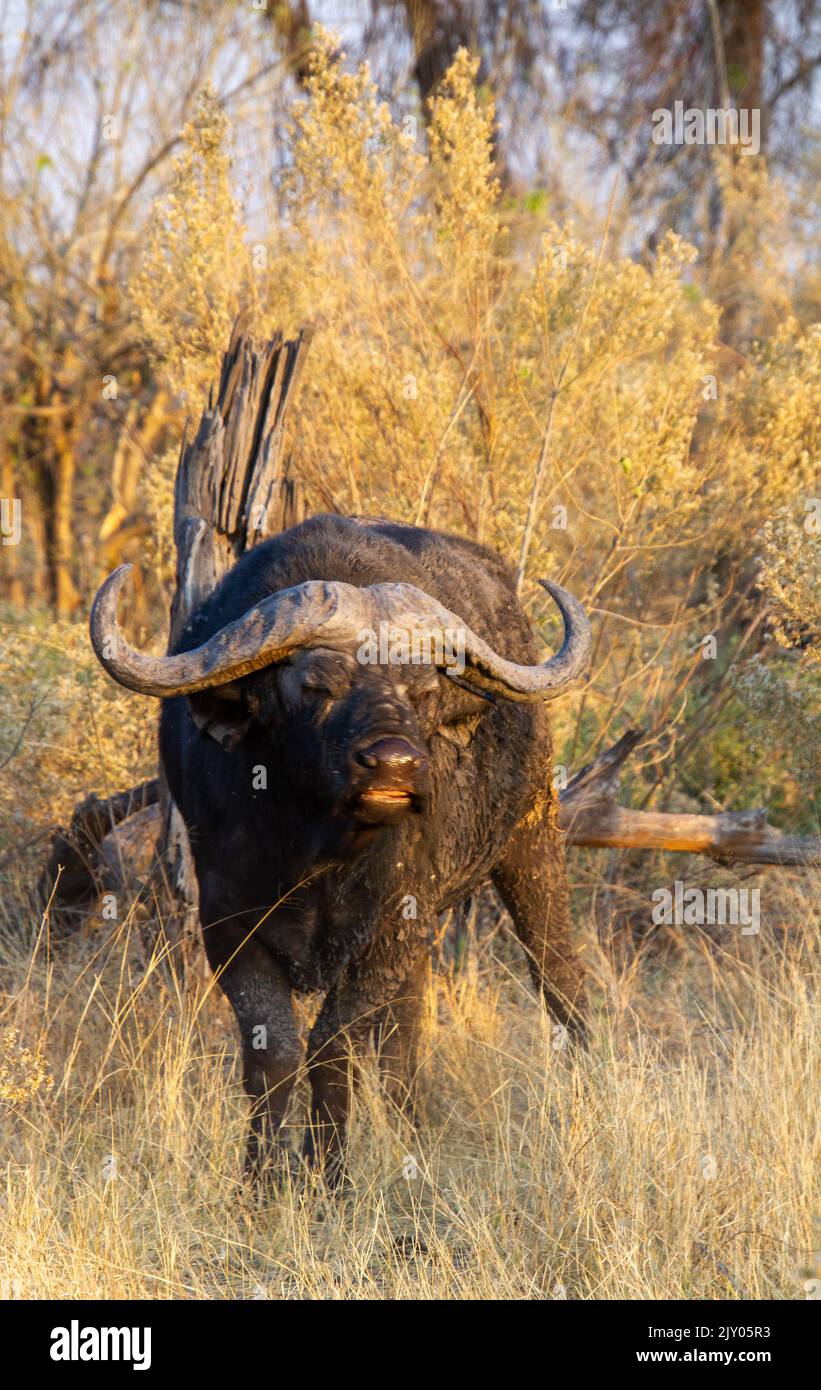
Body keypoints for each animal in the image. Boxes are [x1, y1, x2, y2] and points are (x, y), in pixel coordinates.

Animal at [88, 517, 591, 1178]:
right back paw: (408, 1126)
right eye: (317, 686)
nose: (395, 765)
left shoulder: (392, 926)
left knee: (556, 970)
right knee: (406, 1031)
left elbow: (333, 1046)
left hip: (533, 834)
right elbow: (274, 1050)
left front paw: (329, 1175)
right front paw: (261, 1179)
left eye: (422, 691)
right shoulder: (227, 924)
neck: (316, 851)